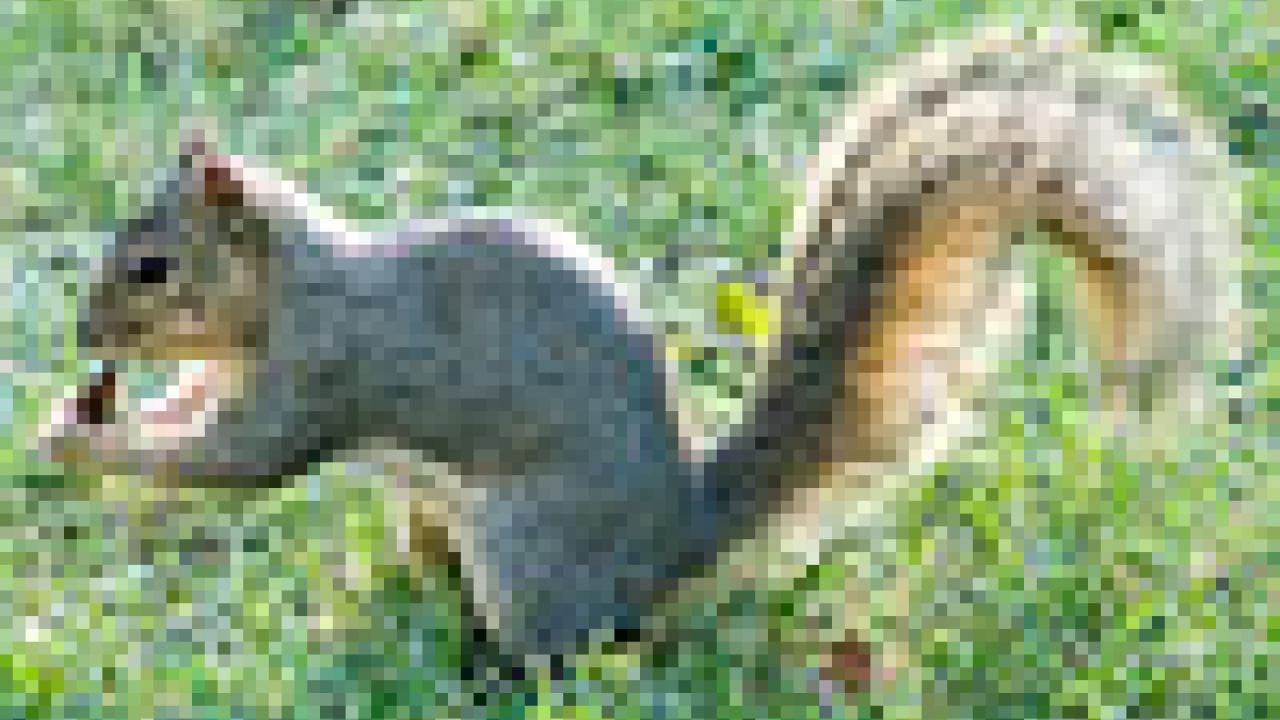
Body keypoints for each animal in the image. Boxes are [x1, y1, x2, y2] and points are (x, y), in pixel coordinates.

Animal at [38, 28, 1243, 677]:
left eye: (152, 267)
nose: (86, 336)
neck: (293, 283)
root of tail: (677, 537)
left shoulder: (327, 365)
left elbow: (238, 464)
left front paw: (80, 443)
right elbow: (202, 412)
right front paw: (89, 412)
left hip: (529, 555)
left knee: (582, 642)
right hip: (446, 521)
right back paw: (381, 596)